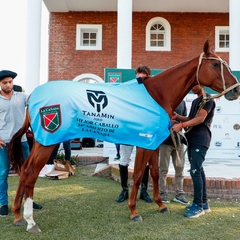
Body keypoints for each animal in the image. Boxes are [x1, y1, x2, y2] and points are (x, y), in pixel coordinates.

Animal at [8, 40, 239, 232]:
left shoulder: (153, 144)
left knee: (25, 170)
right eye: (215, 64)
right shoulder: (144, 143)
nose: (236, 90)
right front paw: (134, 211)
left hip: (40, 142)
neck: (158, 94)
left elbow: (155, 173)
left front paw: (160, 205)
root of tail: (32, 96)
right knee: (30, 173)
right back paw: (30, 221)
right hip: (47, 141)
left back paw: (18, 215)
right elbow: (137, 175)